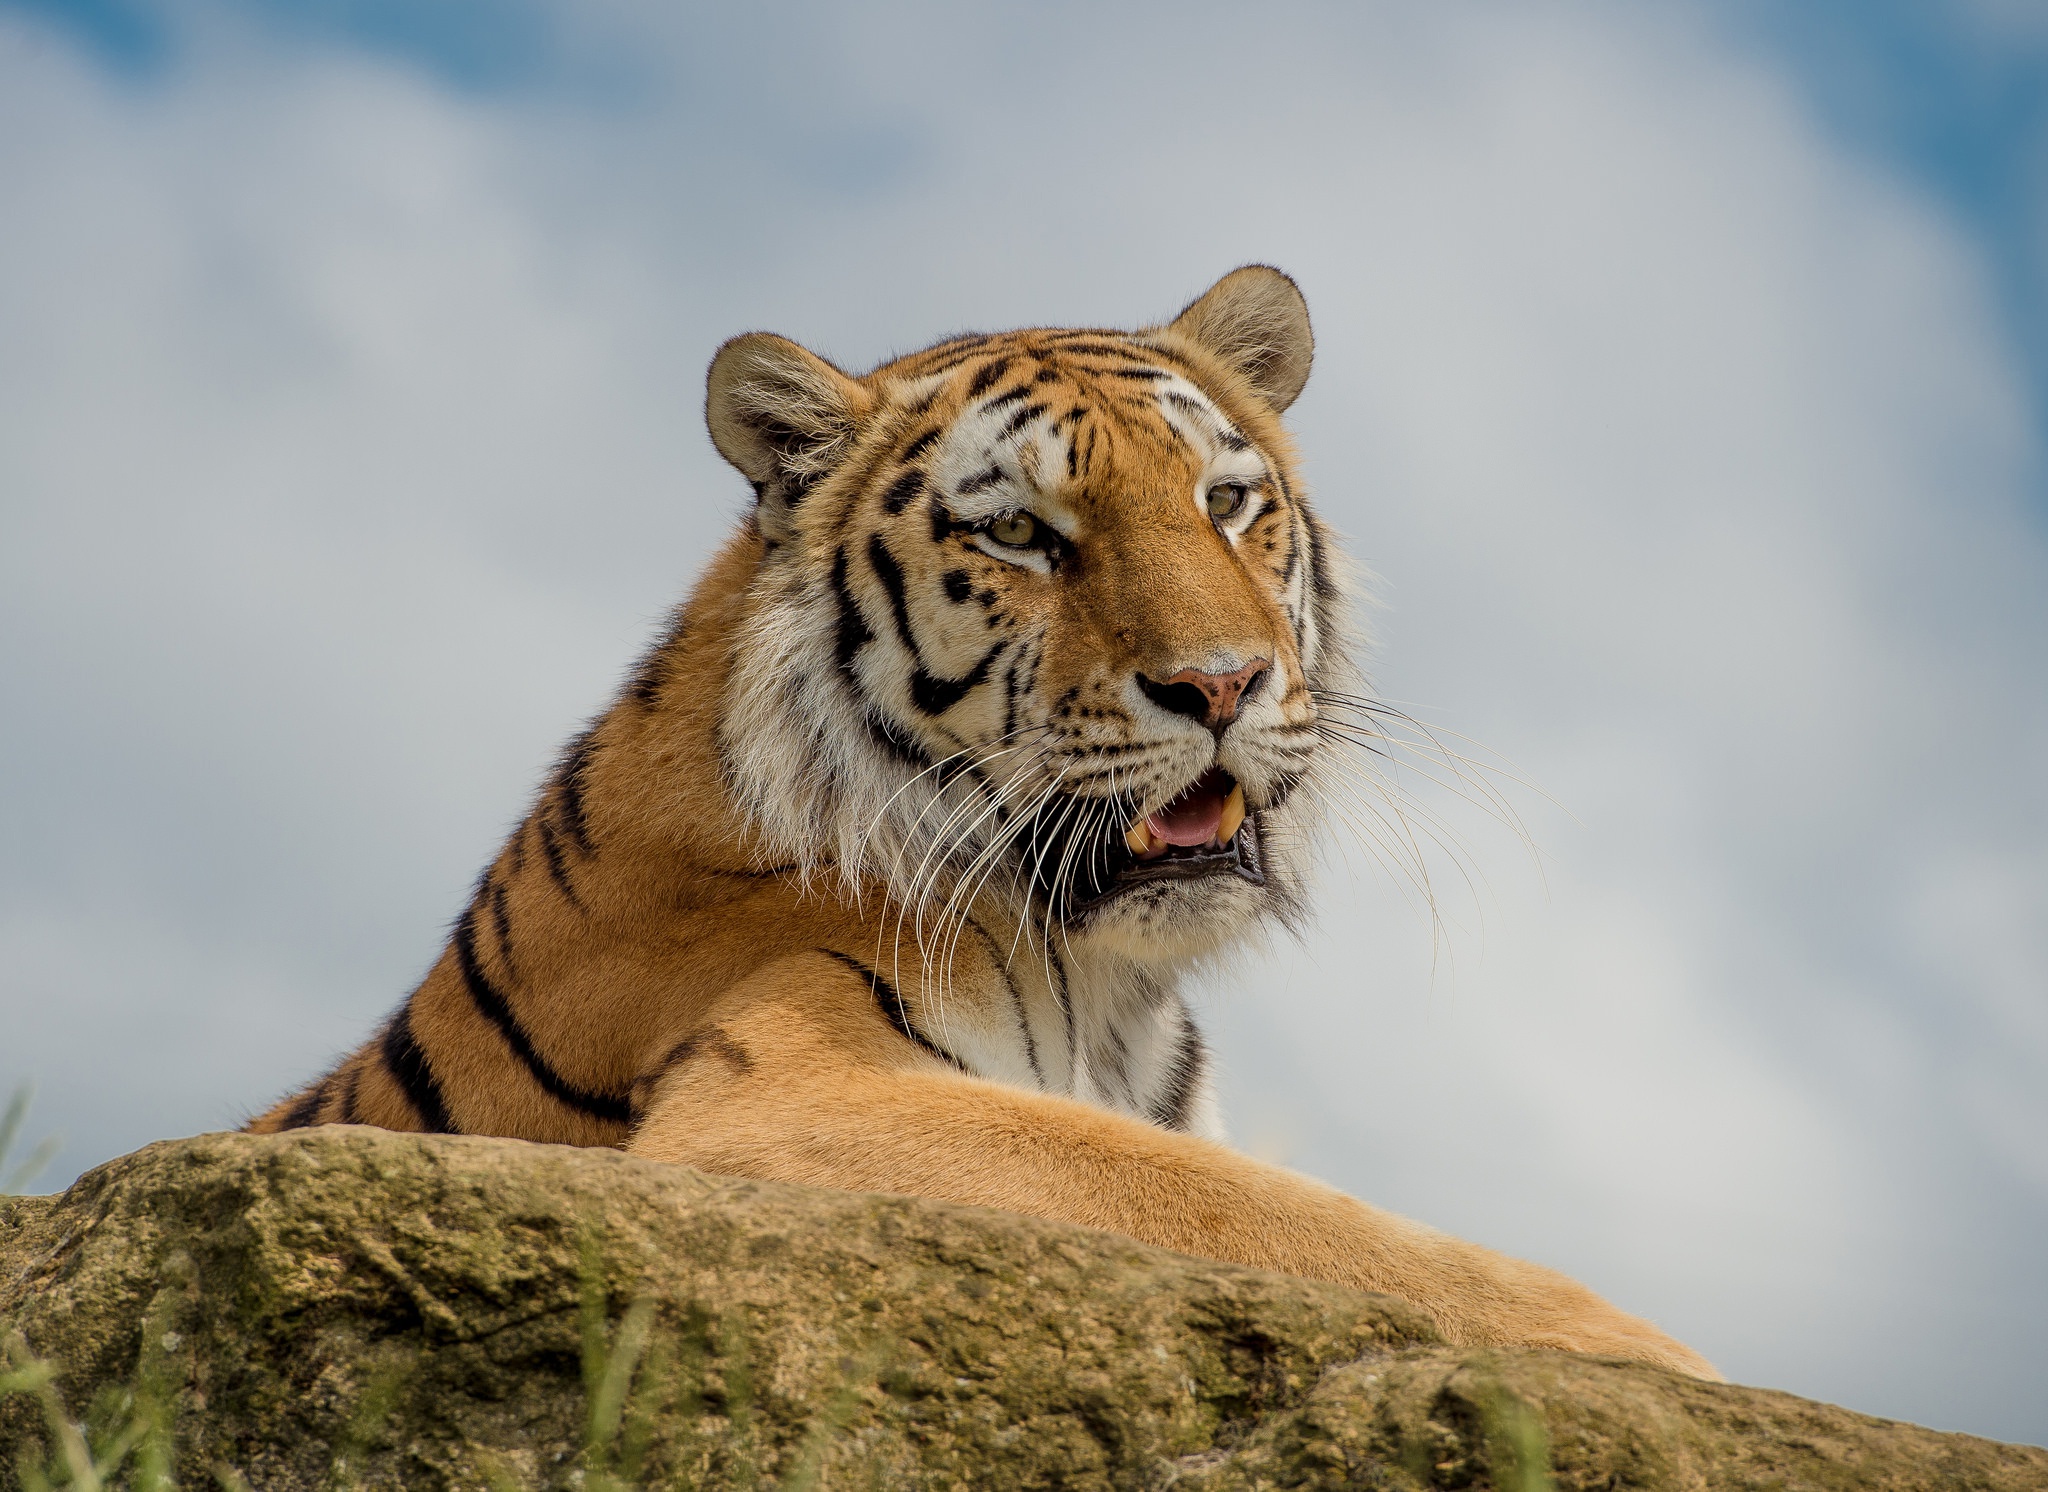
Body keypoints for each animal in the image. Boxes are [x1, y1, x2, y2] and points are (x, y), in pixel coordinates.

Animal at [251, 264, 1728, 1375]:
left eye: (1225, 502)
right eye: (1021, 534)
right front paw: (1649, 1352)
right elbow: (1224, 1202)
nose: (1221, 684)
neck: (1111, 985)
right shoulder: (775, 1097)